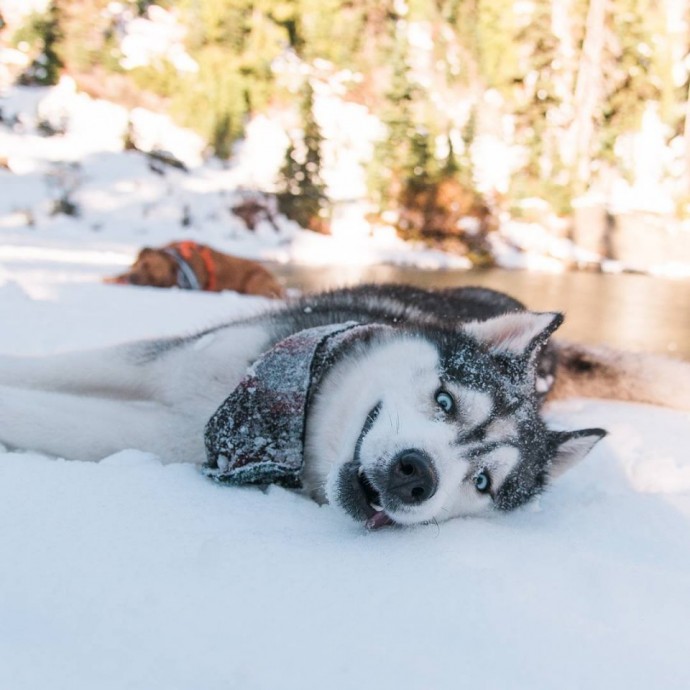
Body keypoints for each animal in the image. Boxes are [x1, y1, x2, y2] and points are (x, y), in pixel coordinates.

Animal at [1, 284, 688, 528]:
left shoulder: (166, 433)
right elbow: (48, 370)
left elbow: (45, 415)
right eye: (445, 400)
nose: (416, 476)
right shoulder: (165, 363)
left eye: (482, 483)